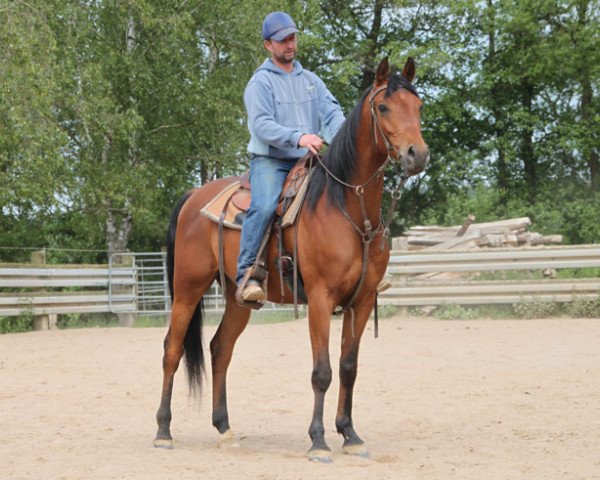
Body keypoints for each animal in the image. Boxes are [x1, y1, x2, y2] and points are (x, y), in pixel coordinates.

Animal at [152, 56, 428, 462]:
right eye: (383, 107)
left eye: (418, 106)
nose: (416, 154)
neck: (347, 207)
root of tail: (192, 197)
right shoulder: (320, 299)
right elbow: (322, 372)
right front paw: (318, 441)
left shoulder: (361, 301)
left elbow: (348, 367)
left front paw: (350, 435)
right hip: (188, 288)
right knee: (172, 350)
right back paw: (163, 431)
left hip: (238, 298)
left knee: (220, 350)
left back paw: (224, 428)